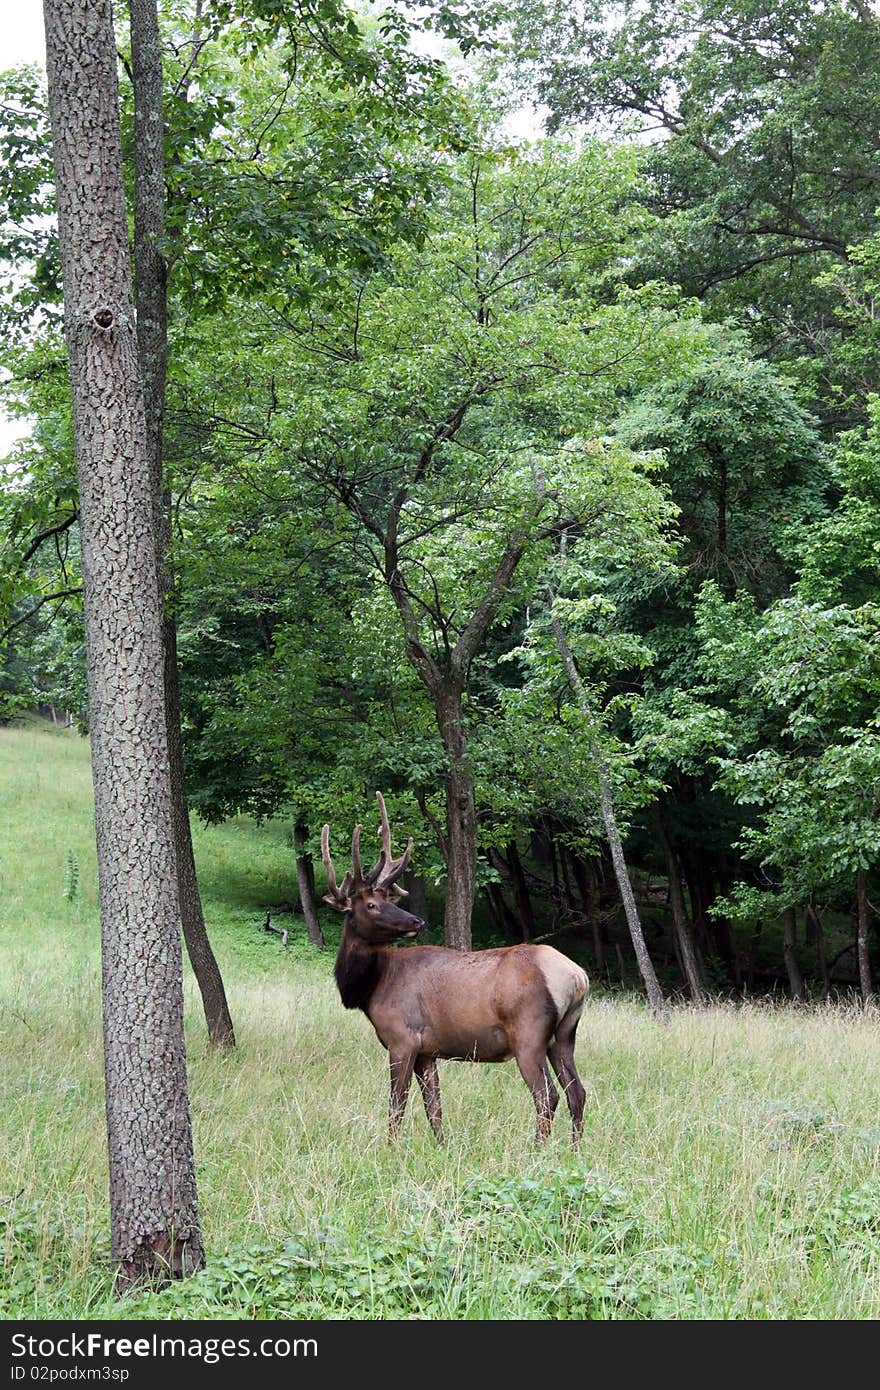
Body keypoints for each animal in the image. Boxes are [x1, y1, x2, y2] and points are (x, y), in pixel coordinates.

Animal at [319, 795, 586, 1139]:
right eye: (373, 904)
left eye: (382, 901)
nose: (415, 921)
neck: (370, 989)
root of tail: (578, 977)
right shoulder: (427, 1051)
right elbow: (434, 1109)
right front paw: (441, 1145)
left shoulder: (402, 1038)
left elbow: (396, 1106)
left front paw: (390, 1146)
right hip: (564, 1035)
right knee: (576, 1092)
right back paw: (575, 1147)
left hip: (529, 1033)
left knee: (547, 1095)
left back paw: (537, 1147)